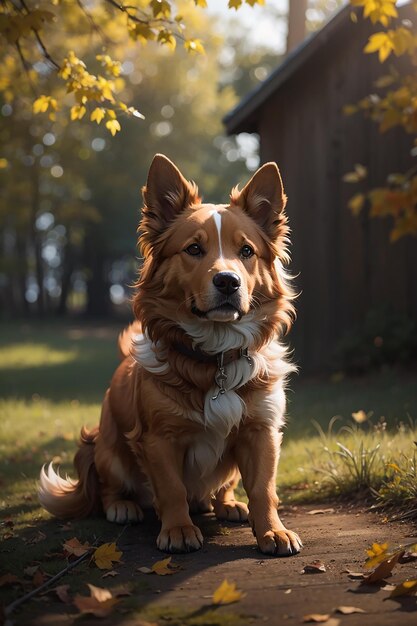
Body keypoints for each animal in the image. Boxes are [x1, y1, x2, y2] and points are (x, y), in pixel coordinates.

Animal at [39, 154, 300, 552]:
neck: (215, 356)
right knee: (111, 486)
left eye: (246, 251)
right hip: (108, 447)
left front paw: (272, 530)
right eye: (193, 249)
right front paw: (177, 529)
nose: (228, 281)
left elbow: (262, 488)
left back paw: (227, 504)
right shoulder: (158, 439)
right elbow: (172, 489)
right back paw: (123, 507)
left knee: (224, 488)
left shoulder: (261, 430)